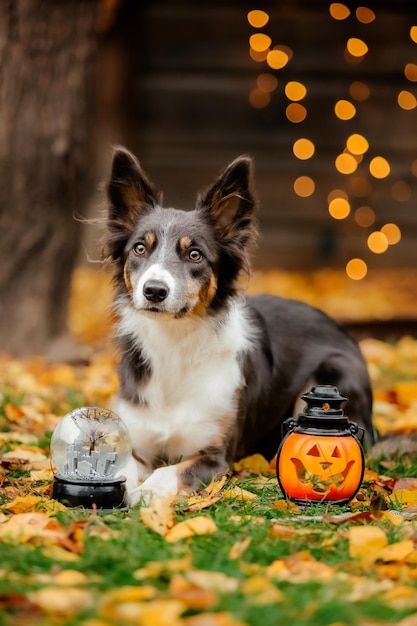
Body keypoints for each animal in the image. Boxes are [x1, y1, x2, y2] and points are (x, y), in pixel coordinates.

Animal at [103, 147, 374, 508]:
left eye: (195, 255)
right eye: (140, 248)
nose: (154, 291)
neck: (175, 344)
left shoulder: (216, 457)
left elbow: (171, 471)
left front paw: (147, 491)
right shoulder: (138, 440)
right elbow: (125, 464)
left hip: (332, 371)